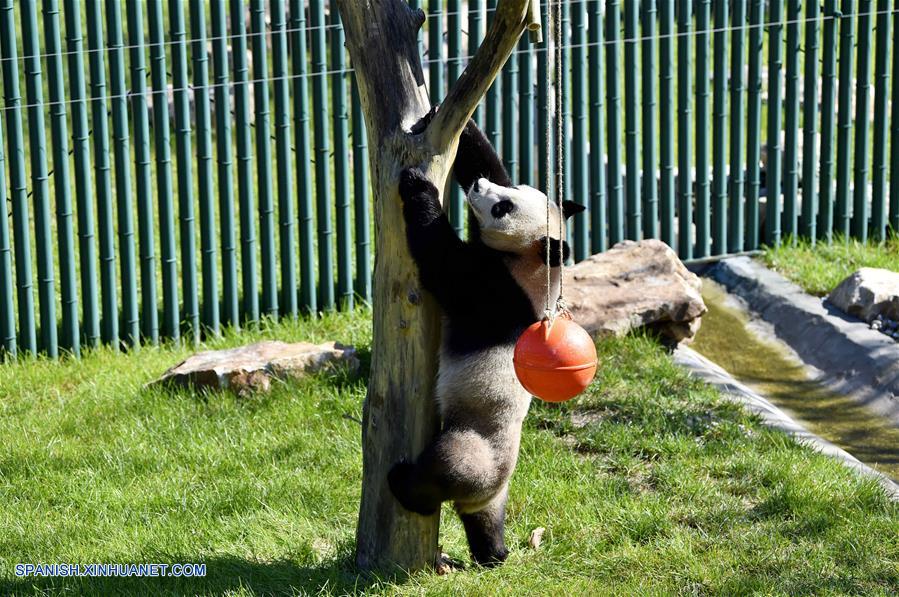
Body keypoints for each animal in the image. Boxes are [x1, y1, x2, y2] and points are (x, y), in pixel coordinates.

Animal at [390, 118, 588, 564]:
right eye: (514, 191)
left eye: (504, 208)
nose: (480, 188)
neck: (531, 263)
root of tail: (488, 492)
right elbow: (486, 157)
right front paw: (449, 122)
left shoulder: (497, 292)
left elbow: (443, 263)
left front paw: (418, 186)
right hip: (492, 492)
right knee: (483, 521)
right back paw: (492, 551)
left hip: (475, 442)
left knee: (444, 468)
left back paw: (405, 484)